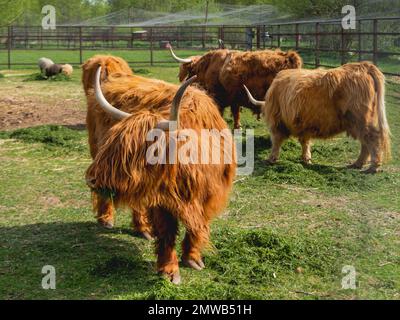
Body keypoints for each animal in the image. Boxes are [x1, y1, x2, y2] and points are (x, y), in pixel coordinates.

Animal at [167, 44, 302, 129]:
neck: (208, 67)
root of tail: (290, 57)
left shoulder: (219, 96)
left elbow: (222, 111)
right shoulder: (234, 98)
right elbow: (236, 113)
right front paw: (238, 126)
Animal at [244, 61, 390, 174]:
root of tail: (363, 65)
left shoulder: (277, 122)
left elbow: (276, 140)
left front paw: (271, 159)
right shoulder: (304, 123)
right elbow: (305, 141)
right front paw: (306, 158)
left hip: (359, 119)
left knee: (372, 138)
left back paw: (373, 167)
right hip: (359, 122)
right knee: (365, 141)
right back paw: (357, 164)